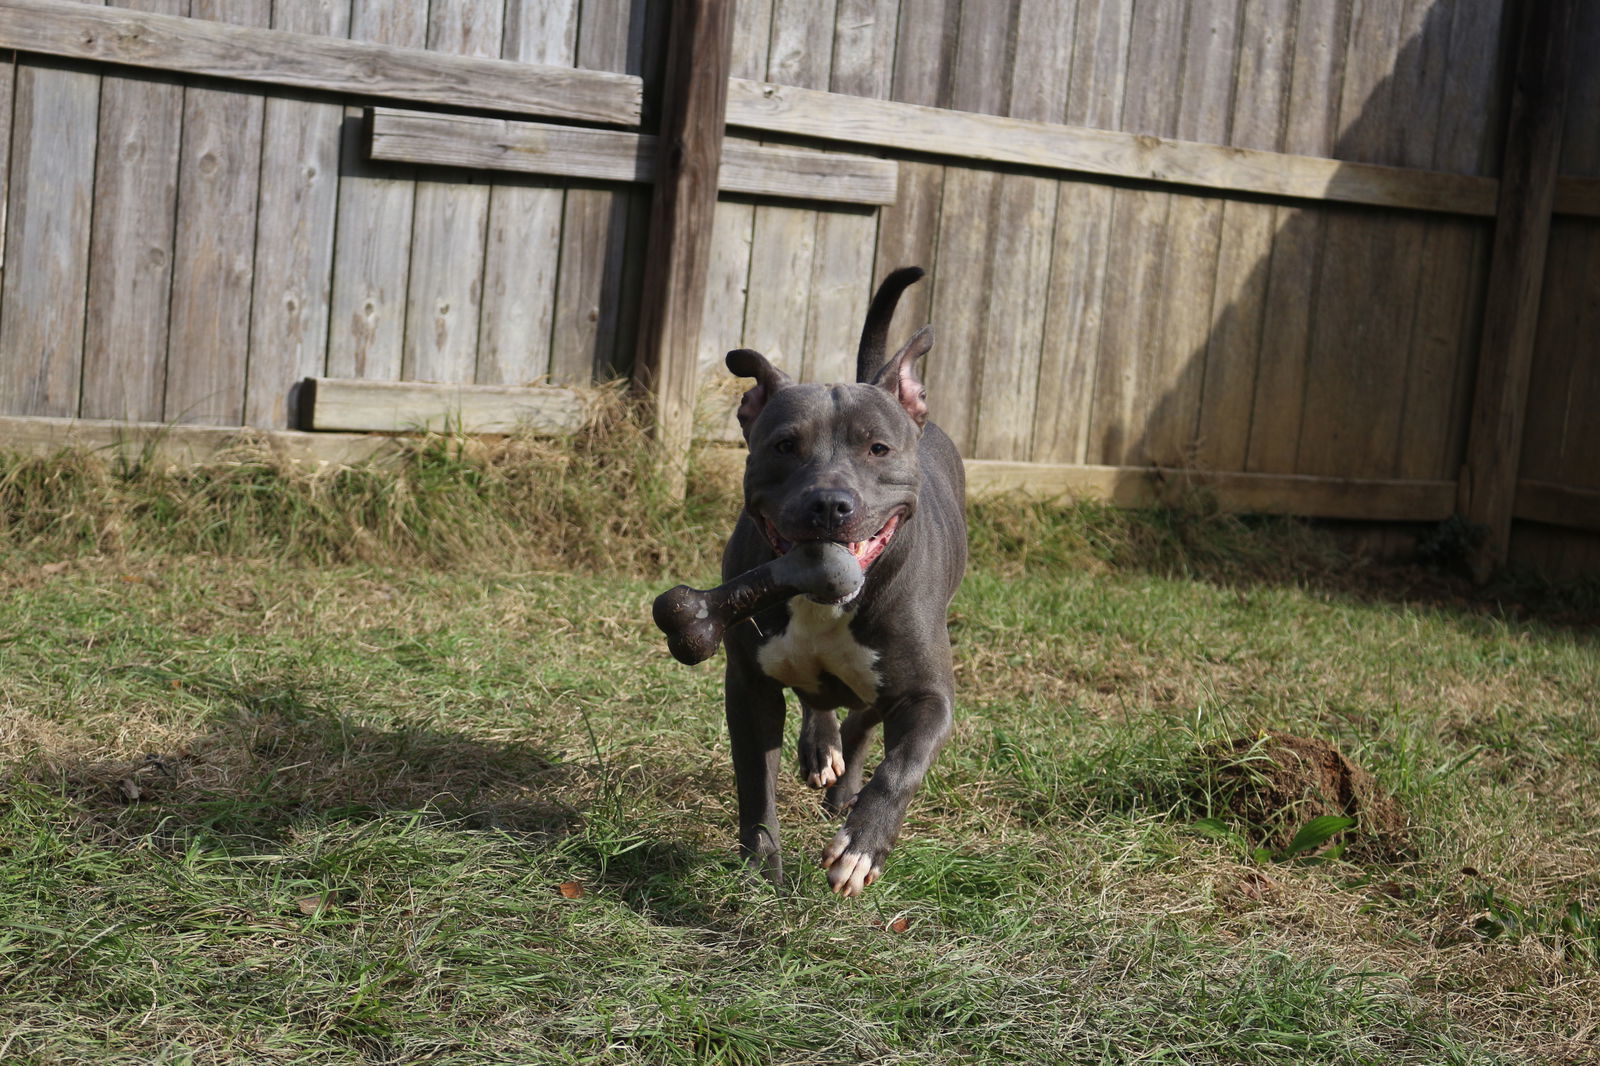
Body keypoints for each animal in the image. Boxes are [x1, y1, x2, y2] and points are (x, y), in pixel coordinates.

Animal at [720, 264, 966, 889]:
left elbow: (901, 766)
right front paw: (761, 865)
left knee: (862, 723)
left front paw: (862, 844)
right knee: (824, 704)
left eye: (878, 448)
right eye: (785, 445)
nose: (829, 504)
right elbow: (754, 781)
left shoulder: (928, 696)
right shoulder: (749, 686)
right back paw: (820, 750)